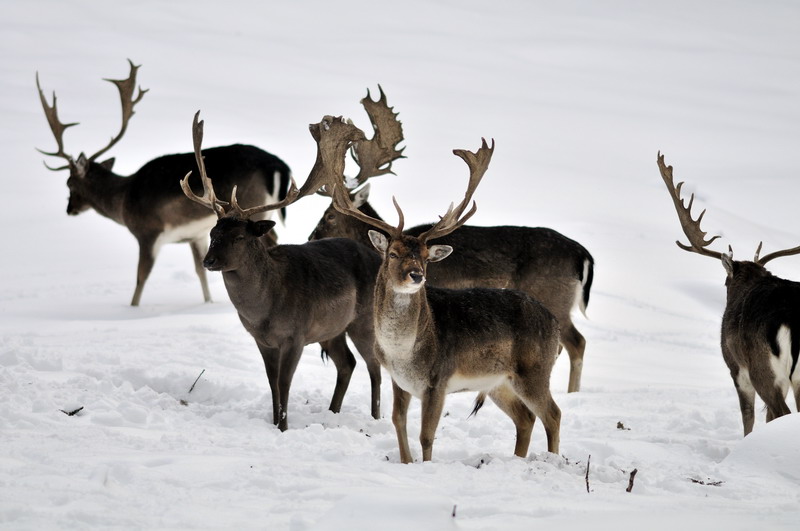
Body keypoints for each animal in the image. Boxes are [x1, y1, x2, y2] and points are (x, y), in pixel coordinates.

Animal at [36, 59, 291, 306]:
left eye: (69, 183)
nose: (70, 209)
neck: (123, 201)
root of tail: (279, 167)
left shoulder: (148, 232)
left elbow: (140, 278)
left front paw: (133, 308)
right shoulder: (196, 235)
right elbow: (200, 272)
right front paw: (208, 303)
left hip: (253, 205)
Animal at [181, 112, 383, 431]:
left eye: (240, 237)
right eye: (213, 232)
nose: (208, 261)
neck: (264, 311)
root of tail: (378, 258)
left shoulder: (295, 335)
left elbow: (285, 383)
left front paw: (283, 427)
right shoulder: (261, 340)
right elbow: (272, 383)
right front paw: (275, 421)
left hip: (364, 320)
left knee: (374, 366)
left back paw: (376, 417)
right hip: (332, 329)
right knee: (348, 363)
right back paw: (333, 412)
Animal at [322, 118, 561, 463]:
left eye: (425, 256)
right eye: (392, 253)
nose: (416, 275)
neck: (403, 352)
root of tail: (555, 322)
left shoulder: (438, 380)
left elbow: (426, 435)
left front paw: (425, 465)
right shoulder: (399, 381)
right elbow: (398, 422)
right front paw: (407, 462)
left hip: (534, 369)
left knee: (553, 414)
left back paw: (554, 460)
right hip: (498, 382)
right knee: (526, 418)